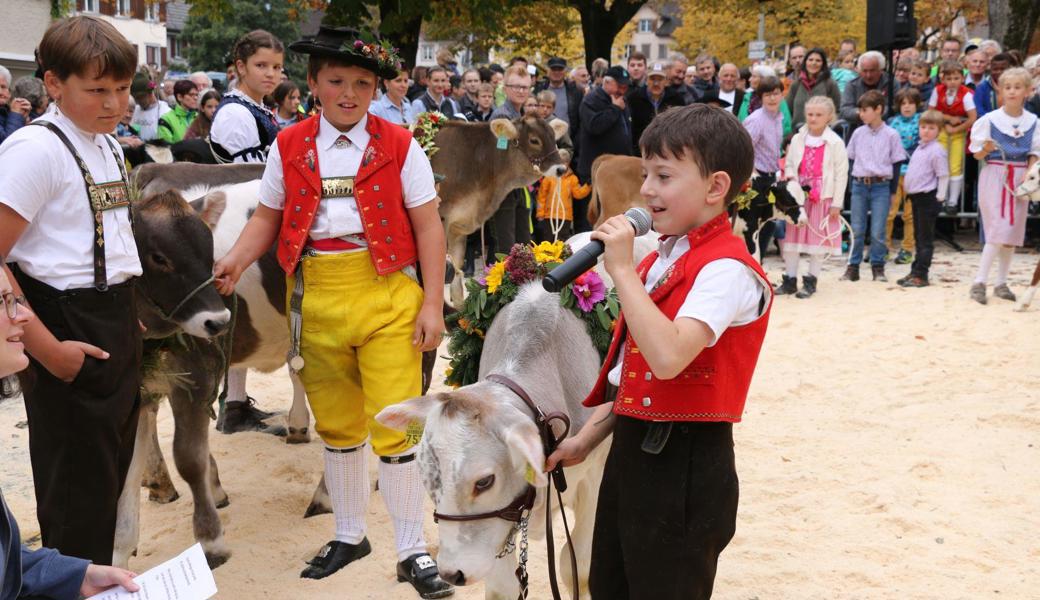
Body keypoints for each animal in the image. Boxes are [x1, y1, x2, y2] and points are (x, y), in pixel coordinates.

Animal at [436, 116, 574, 303]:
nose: (560, 168)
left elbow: (456, 278)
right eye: (534, 140)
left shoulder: (459, 225)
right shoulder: (442, 218)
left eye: (554, 137)